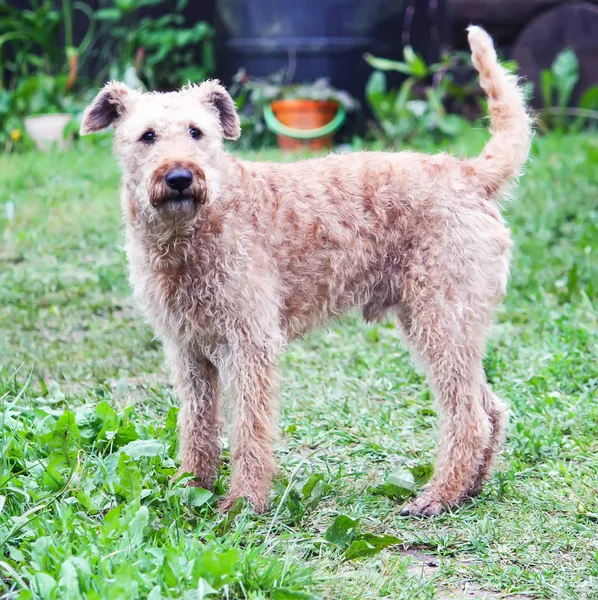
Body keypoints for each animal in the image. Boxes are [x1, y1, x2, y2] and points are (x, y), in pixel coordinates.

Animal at [81, 27, 536, 516]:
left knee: (469, 416)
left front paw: (244, 501)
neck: (194, 230)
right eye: (146, 136)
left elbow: (249, 429)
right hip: (442, 324)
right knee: (491, 408)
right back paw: (468, 490)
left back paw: (438, 495)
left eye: (196, 131)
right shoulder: (187, 349)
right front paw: (192, 486)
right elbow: (197, 424)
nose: (181, 177)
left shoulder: (251, 342)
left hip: (442, 318)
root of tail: (470, 174)